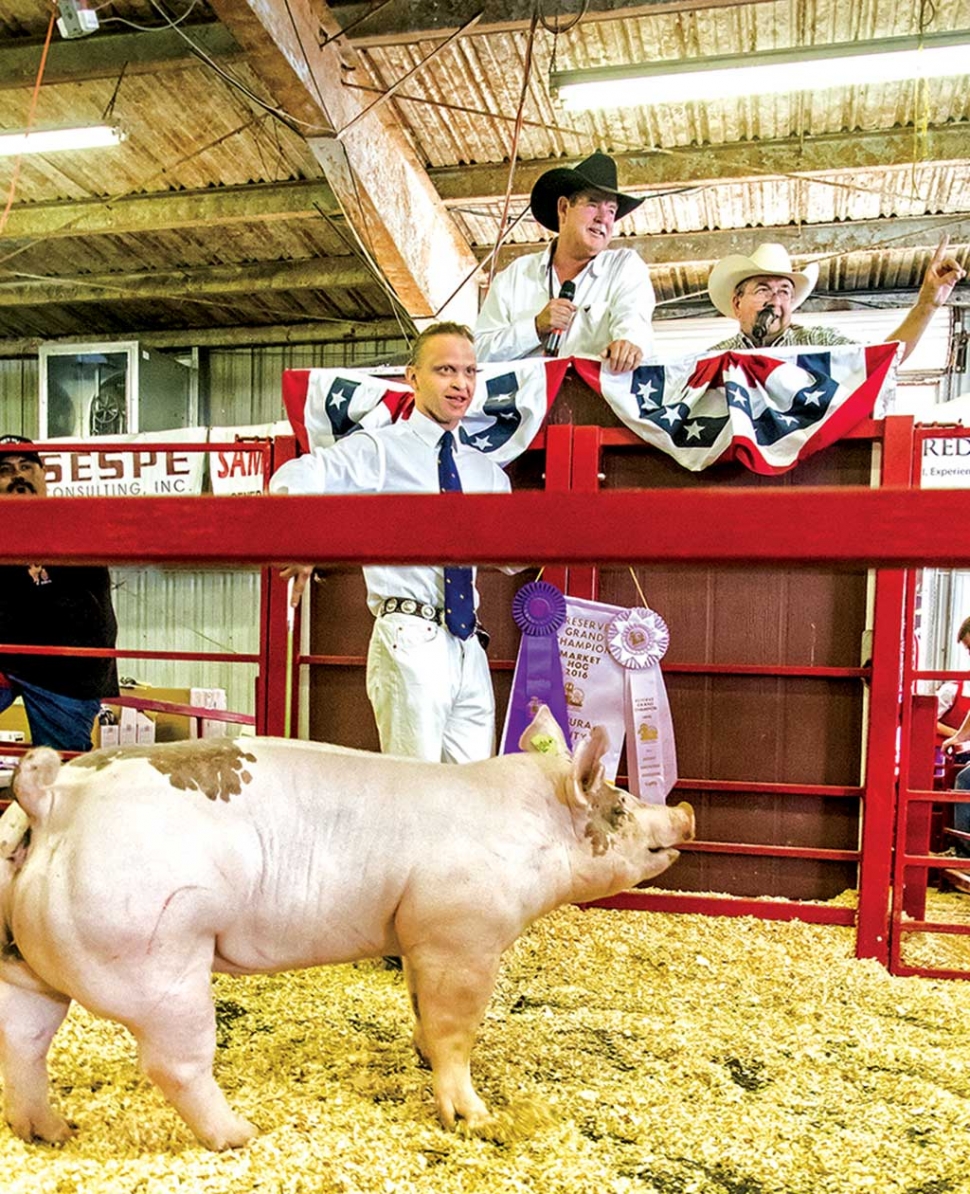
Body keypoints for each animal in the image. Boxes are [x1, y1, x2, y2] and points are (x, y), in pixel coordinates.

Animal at [0, 702, 688, 1151]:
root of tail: (53, 799)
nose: (682, 812)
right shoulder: (460, 935)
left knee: (23, 1043)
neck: (530, 827)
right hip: (160, 965)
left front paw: (419, 1054)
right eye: (621, 804)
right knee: (175, 1063)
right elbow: (455, 1030)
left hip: (22, 964)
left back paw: (55, 1134)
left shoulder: (417, 936)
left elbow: (420, 1007)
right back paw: (242, 1135)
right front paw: (474, 1119)